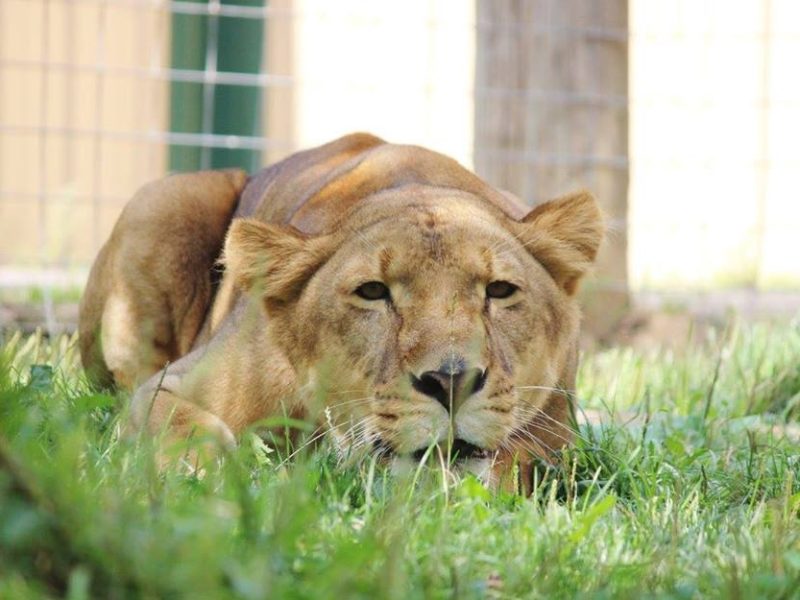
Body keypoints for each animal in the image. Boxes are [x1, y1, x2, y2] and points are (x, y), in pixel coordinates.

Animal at [78, 133, 604, 491]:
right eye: (372, 292)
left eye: (499, 290)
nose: (451, 382)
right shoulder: (167, 386)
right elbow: (184, 430)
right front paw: (215, 486)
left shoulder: (556, 435)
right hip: (166, 200)